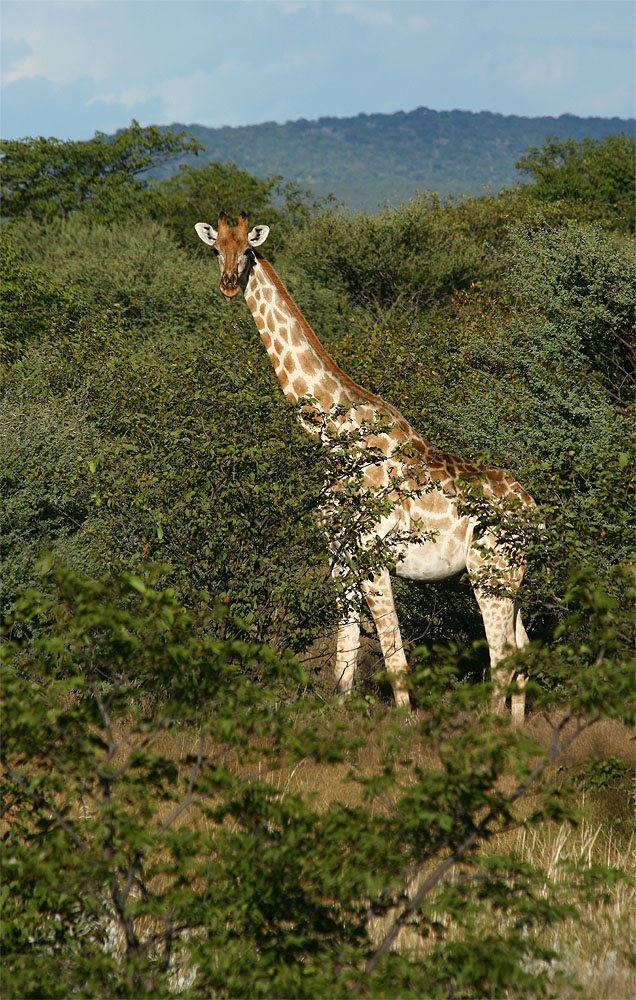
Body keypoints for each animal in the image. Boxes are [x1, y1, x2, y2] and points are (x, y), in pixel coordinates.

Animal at [194, 213, 532, 728]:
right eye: (217, 250)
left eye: (247, 251)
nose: (230, 284)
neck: (332, 437)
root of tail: (537, 513)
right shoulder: (339, 558)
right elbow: (344, 653)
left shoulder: (373, 557)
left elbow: (393, 654)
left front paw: (407, 726)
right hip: (515, 579)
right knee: (523, 652)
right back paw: (516, 733)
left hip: (489, 573)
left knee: (501, 656)